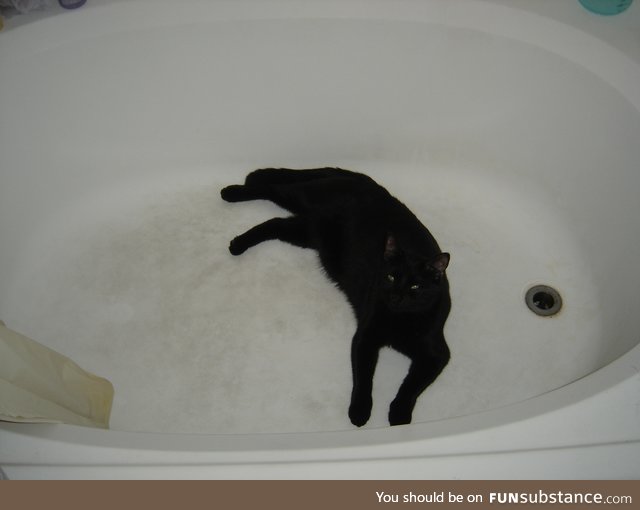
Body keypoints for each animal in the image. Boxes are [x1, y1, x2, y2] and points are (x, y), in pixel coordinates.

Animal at [222, 167, 452, 426]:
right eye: (391, 277)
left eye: (415, 286)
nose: (396, 297)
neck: (399, 319)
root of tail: (370, 183)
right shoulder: (365, 338)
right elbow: (364, 378)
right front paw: (360, 411)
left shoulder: (436, 355)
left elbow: (412, 386)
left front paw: (399, 414)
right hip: (305, 199)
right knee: (272, 190)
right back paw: (231, 194)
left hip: (306, 231)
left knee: (274, 222)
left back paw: (238, 242)